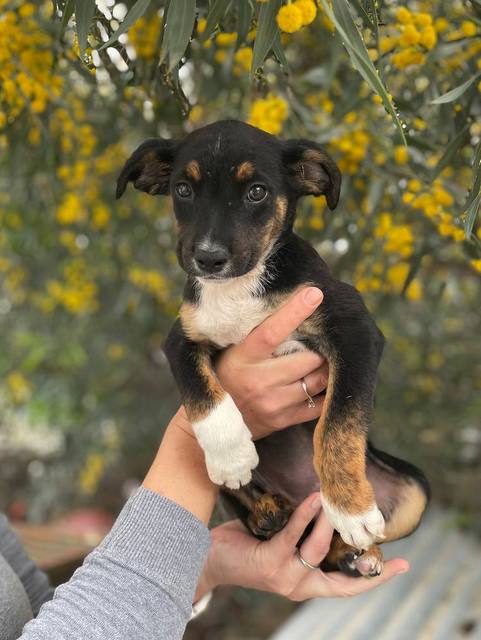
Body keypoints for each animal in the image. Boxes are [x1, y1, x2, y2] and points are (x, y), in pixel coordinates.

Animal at [116, 120, 430, 577]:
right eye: (183, 190)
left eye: (257, 192)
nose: (208, 259)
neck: (241, 288)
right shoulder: (181, 337)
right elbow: (201, 392)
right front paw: (231, 456)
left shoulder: (354, 326)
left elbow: (338, 423)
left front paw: (350, 509)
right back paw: (269, 511)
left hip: (416, 492)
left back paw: (354, 549)